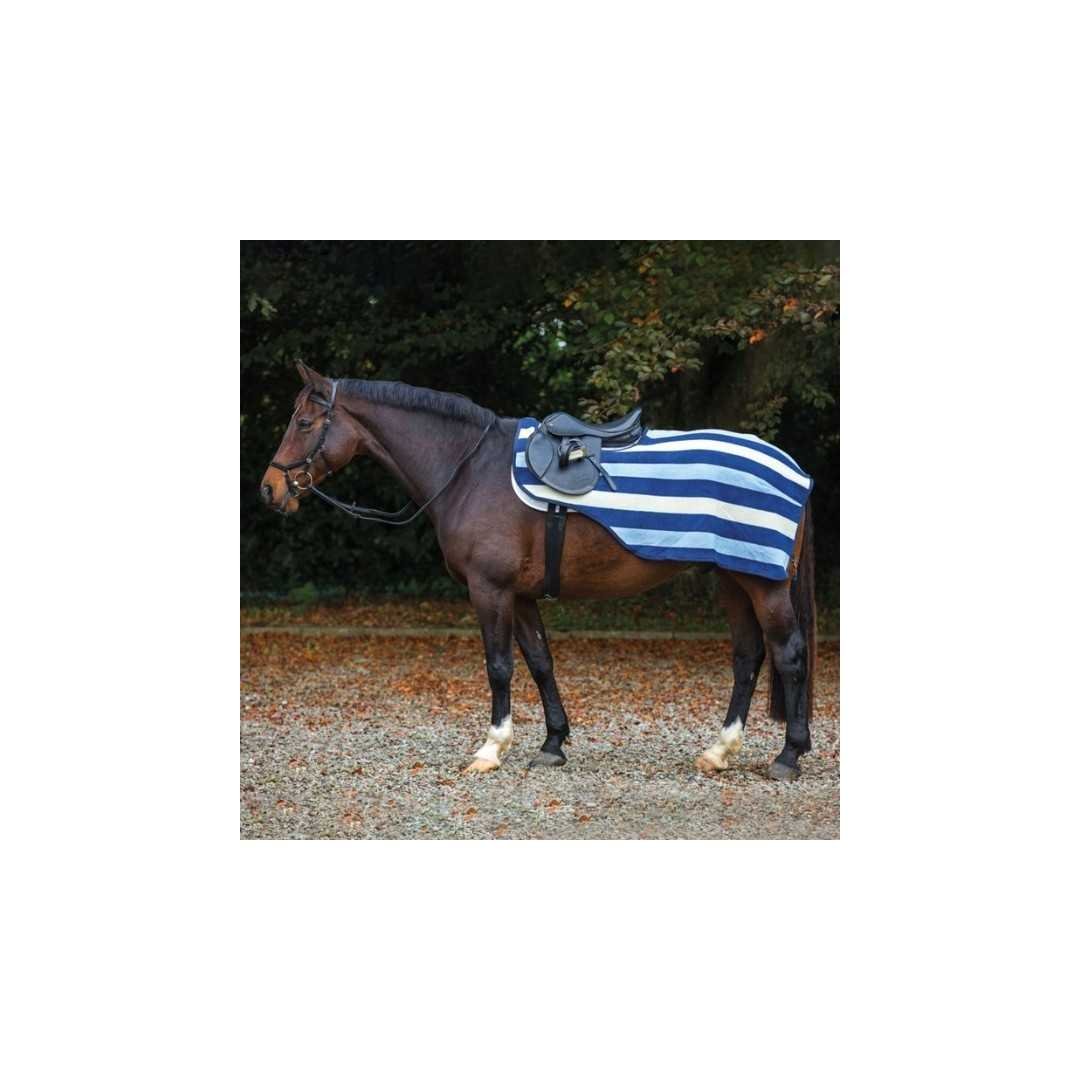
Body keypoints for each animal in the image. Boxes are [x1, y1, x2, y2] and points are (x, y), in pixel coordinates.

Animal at [259, 362, 816, 781]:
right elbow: (541, 662)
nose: (270, 489)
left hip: (764, 585)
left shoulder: (490, 590)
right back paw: (719, 751)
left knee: (788, 654)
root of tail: (795, 468)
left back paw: (788, 755)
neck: (470, 469)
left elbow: (500, 666)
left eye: (304, 424)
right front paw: (553, 743)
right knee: (747, 657)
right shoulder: (521, 595)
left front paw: (491, 748)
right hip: (733, 579)